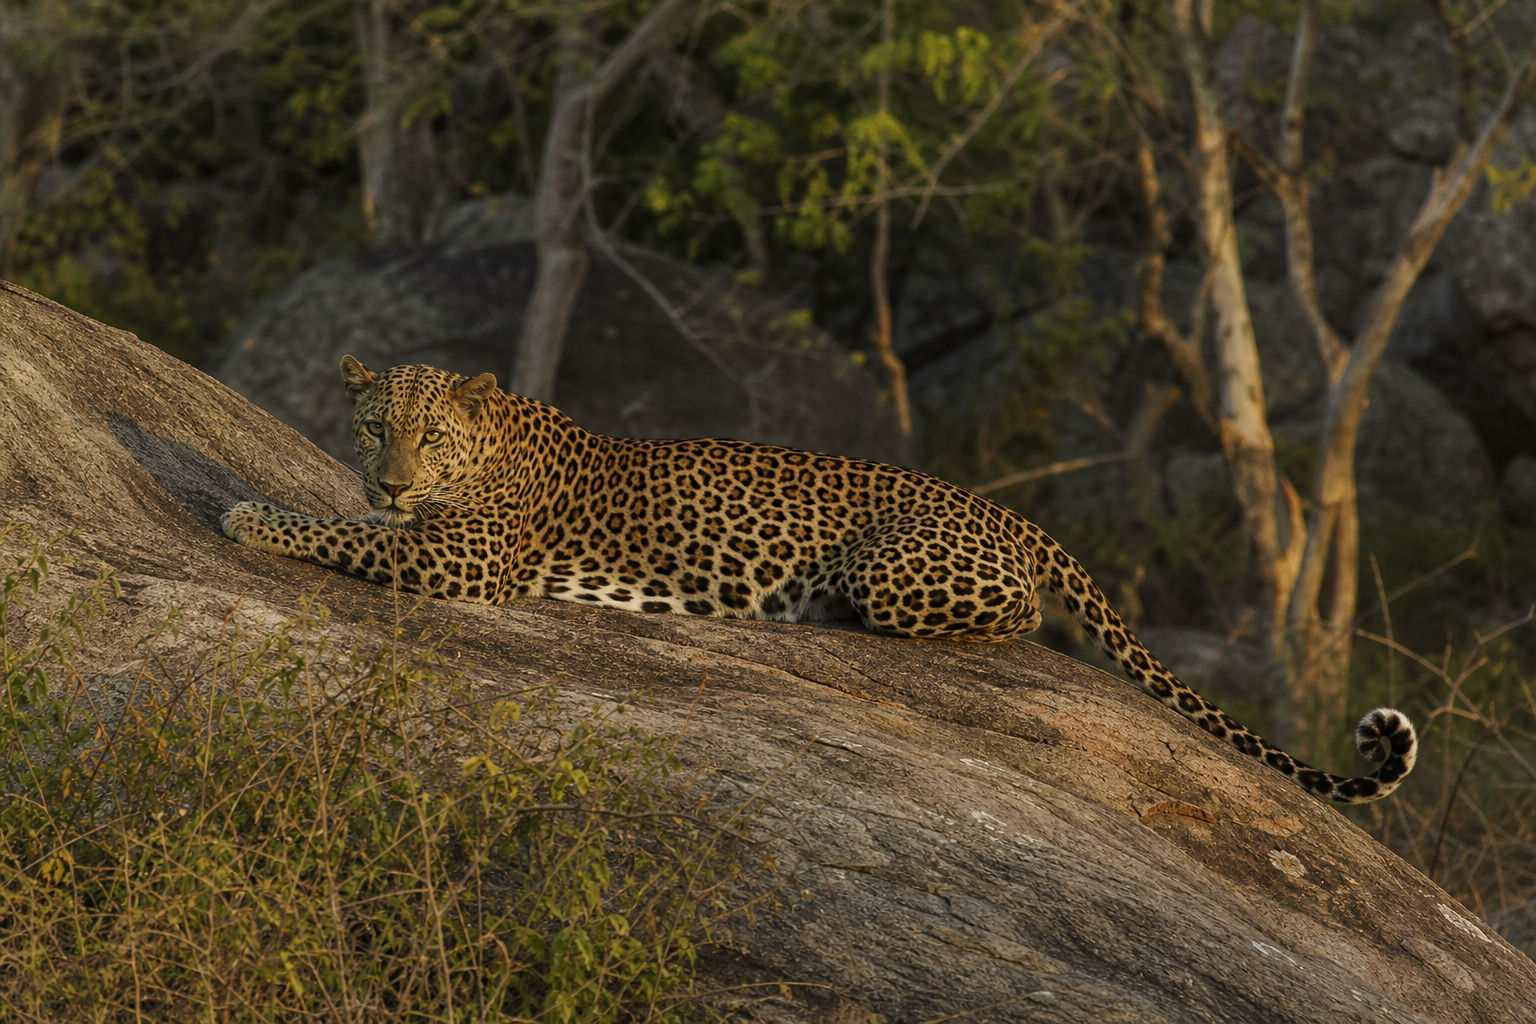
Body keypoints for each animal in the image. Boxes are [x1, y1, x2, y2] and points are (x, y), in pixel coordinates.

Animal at [222, 355, 1417, 805]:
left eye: (428, 436)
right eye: (374, 426)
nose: (388, 479)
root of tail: (1006, 509)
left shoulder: (455, 555)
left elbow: (331, 531)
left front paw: (245, 512)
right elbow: (344, 523)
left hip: (900, 568)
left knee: (1013, 617)